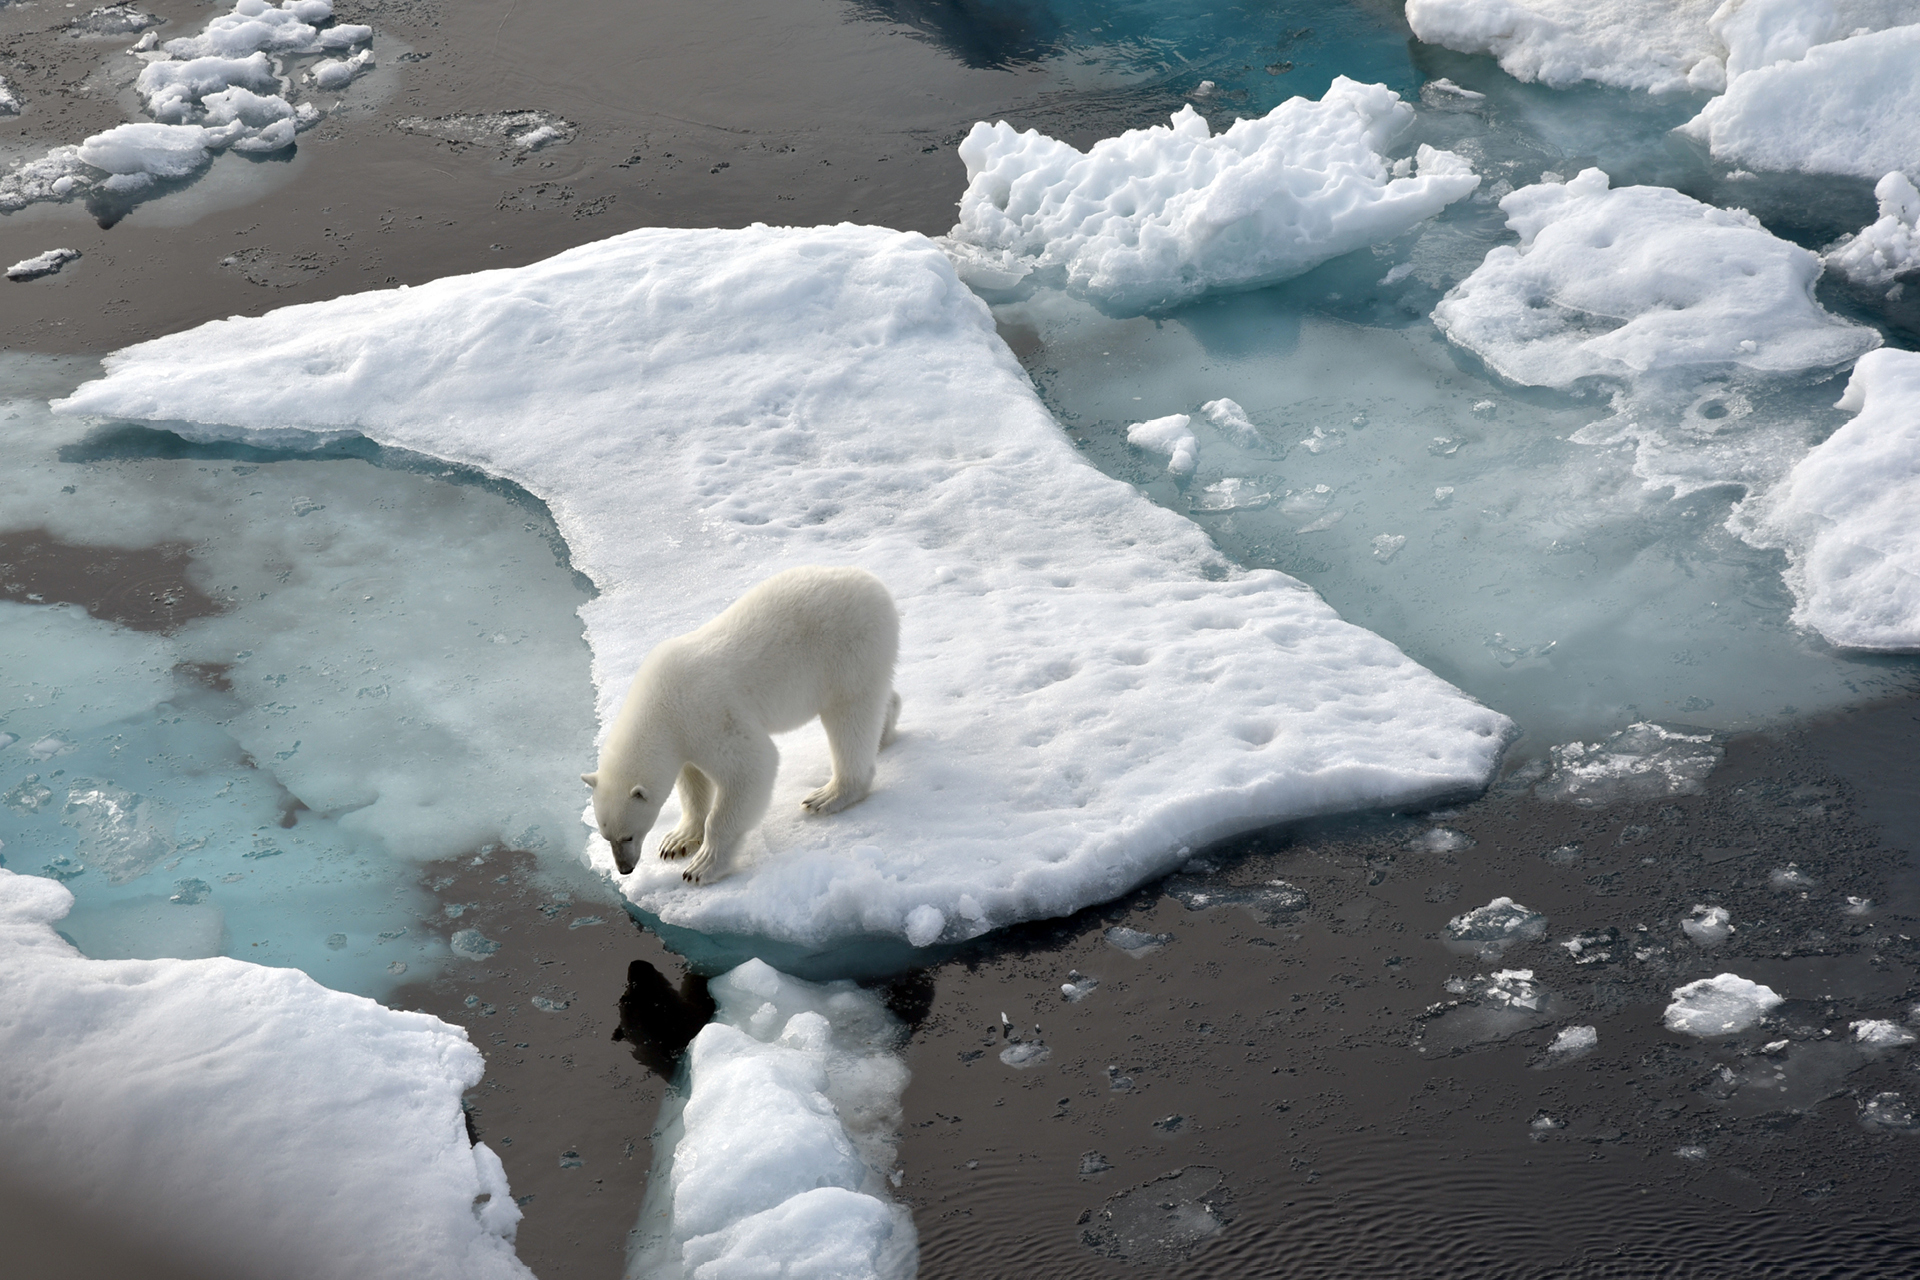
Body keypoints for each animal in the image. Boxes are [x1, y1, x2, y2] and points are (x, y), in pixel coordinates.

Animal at [579, 564, 902, 886]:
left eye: (627, 835)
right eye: (606, 835)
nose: (625, 869)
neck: (659, 705)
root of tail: (875, 585)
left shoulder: (707, 715)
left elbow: (750, 767)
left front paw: (702, 866)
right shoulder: (684, 736)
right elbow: (693, 781)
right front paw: (677, 841)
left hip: (848, 650)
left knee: (849, 717)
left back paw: (829, 794)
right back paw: (884, 731)